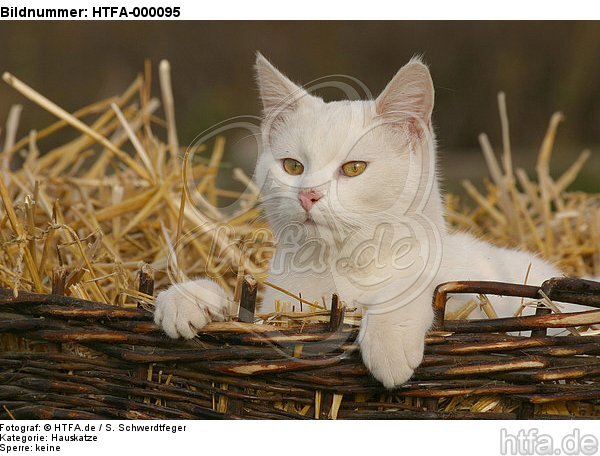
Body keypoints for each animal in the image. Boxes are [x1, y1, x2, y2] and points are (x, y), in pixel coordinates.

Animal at [155, 53, 572, 388]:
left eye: (354, 168)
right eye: (292, 166)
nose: (308, 194)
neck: (341, 264)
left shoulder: (477, 300)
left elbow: (425, 290)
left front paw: (389, 339)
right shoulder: (278, 308)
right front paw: (188, 297)